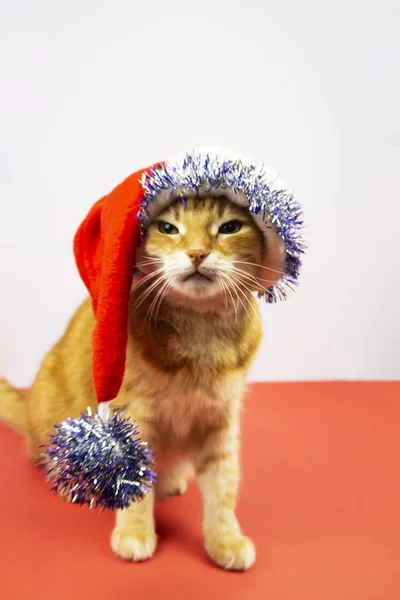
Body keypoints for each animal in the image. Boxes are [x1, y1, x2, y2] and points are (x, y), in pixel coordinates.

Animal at [0, 196, 282, 572]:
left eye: (229, 228)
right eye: (167, 228)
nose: (196, 252)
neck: (201, 338)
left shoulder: (220, 422)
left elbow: (223, 488)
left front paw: (225, 538)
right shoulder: (135, 418)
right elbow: (135, 483)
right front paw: (135, 531)